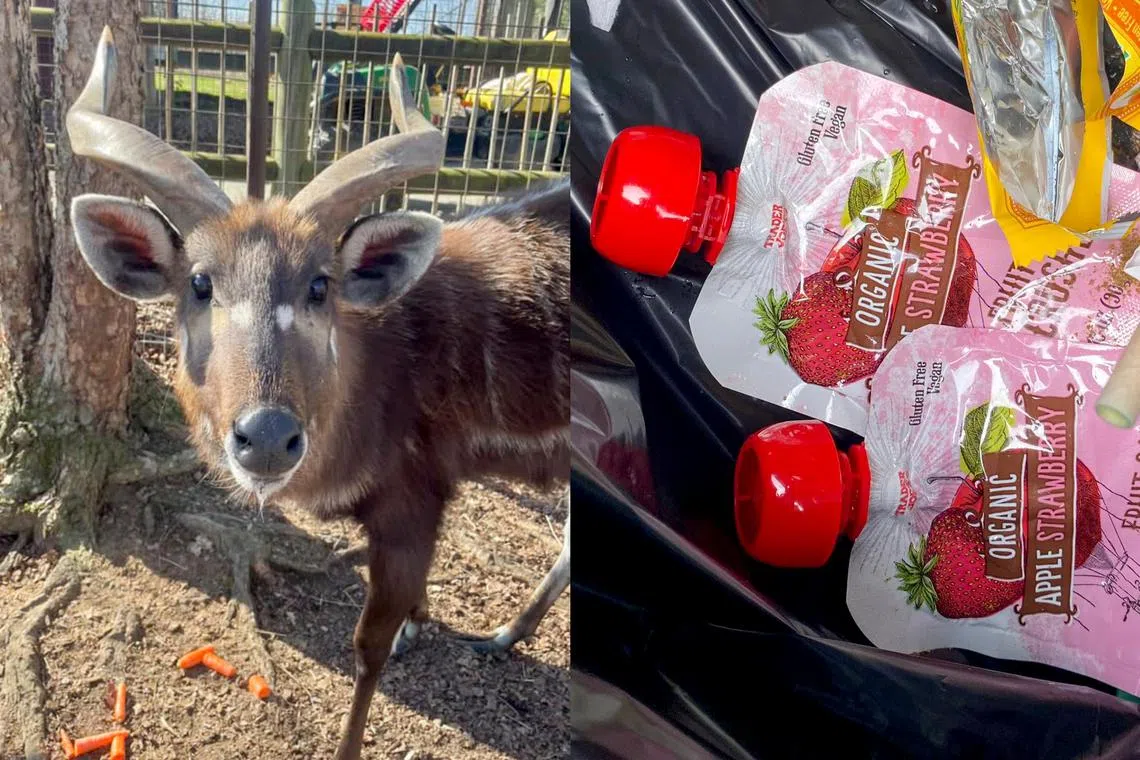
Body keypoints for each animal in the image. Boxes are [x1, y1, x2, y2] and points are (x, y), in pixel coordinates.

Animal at [66, 28, 569, 759]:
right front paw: (422, 624)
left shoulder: (410, 501)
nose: (268, 438)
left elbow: (367, 649)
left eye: (319, 285)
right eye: (199, 282)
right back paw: (504, 635)